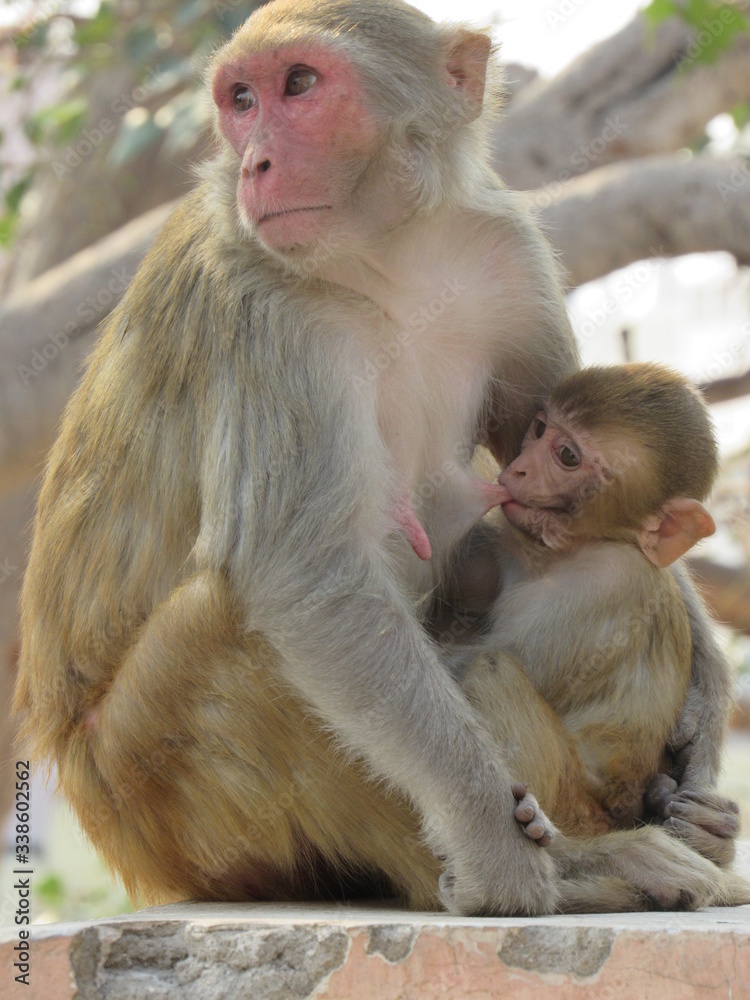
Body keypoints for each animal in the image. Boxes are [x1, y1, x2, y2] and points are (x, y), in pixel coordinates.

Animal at [15, 0, 745, 916]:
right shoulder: (263, 304)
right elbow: (307, 574)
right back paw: (582, 867)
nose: (255, 162)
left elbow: (597, 505)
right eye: (241, 100)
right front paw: (497, 852)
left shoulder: (504, 248)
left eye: (299, 84)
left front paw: (704, 739)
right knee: (238, 617)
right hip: (155, 792)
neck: (386, 255)